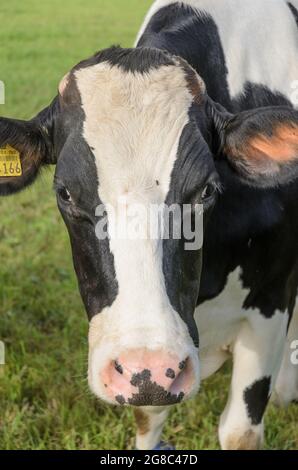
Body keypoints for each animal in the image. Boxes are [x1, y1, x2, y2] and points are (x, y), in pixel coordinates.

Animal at [0, 0, 298, 452]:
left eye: (206, 189)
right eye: (65, 193)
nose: (149, 367)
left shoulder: (271, 300)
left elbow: (240, 431)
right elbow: (147, 416)